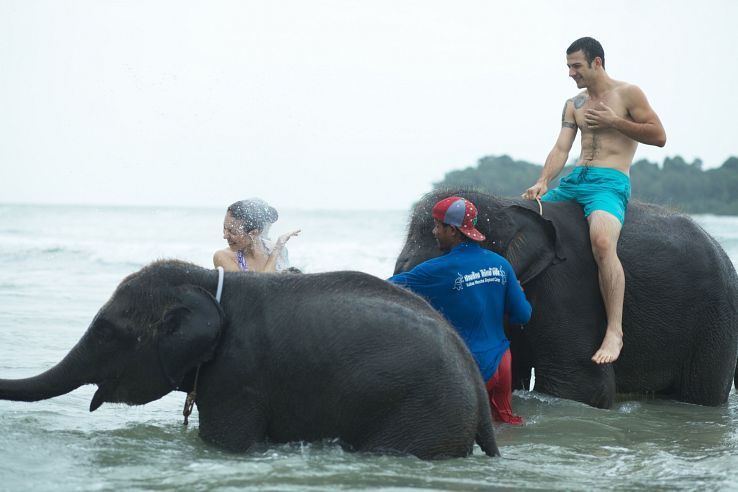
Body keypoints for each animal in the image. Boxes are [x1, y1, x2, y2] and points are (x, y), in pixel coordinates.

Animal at [0, 260, 500, 460]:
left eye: (105, 331)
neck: (206, 281)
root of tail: (476, 382)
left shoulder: (237, 377)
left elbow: (228, 443)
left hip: (423, 413)